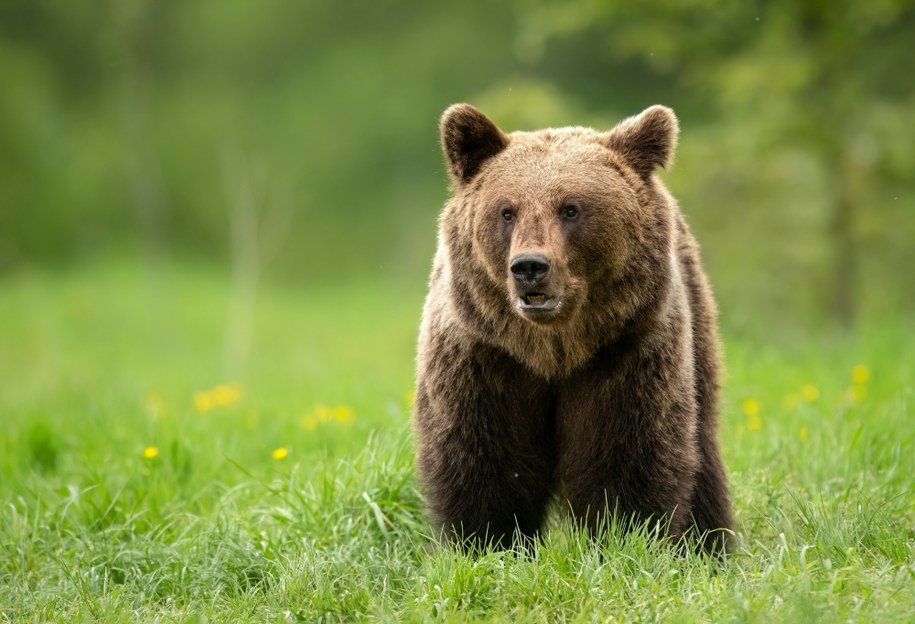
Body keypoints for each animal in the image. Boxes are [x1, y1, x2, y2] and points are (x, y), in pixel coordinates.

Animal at [416, 103, 736, 556]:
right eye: (507, 210)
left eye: (571, 208)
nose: (529, 267)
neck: (553, 351)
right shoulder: (484, 356)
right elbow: (484, 460)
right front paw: (486, 543)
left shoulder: (625, 352)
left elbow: (628, 456)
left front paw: (625, 540)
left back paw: (708, 546)